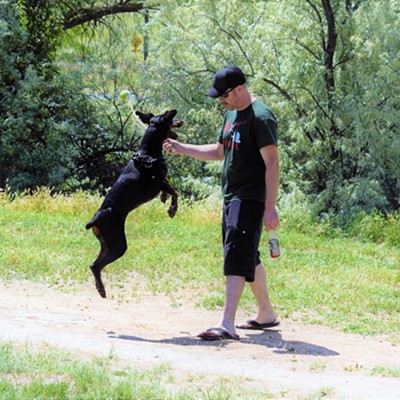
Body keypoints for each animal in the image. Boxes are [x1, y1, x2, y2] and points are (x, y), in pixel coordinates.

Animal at [86, 108, 184, 296]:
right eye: (171, 119)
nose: (181, 120)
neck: (148, 153)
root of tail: (94, 220)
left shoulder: (161, 182)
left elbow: (169, 188)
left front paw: (164, 198)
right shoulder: (157, 181)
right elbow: (175, 192)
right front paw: (172, 209)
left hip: (105, 244)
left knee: (94, 265)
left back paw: (99, 288)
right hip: (118, 244)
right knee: (97, 266)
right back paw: (101, 289)